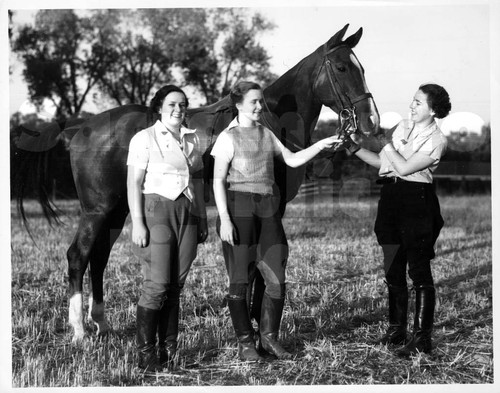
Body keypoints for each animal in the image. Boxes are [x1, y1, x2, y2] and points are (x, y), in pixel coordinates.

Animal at [13, 24, 376, 344]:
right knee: (78, 256)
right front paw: (255, 324)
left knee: (98, 258)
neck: (270, 121)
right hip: (96, 210)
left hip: (115, 210)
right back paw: (78, 331)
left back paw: (100, 323)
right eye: (342, 67)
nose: (370, 120)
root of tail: (80, 128)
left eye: (362, 67)